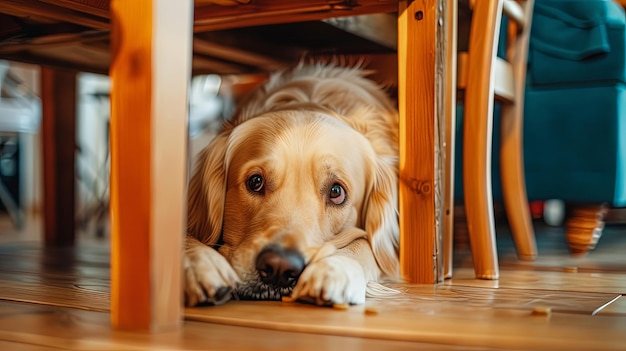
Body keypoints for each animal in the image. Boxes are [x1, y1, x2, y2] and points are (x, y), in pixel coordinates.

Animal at [183, 64, 398, 306]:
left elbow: (366, 245)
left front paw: (335, 269)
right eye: (255, 181)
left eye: (336, 192)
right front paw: (200, 264)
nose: (279, 267)